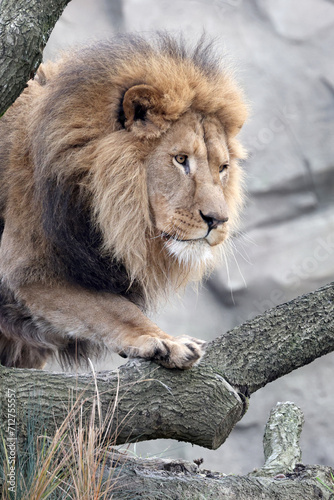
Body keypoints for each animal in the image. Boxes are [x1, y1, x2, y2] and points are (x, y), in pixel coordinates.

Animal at [0, 33, 245, 370]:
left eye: (222, 168)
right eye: (181, 159)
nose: (218, 221)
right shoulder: (28, 270)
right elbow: (114, 309)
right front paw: (166, 342)